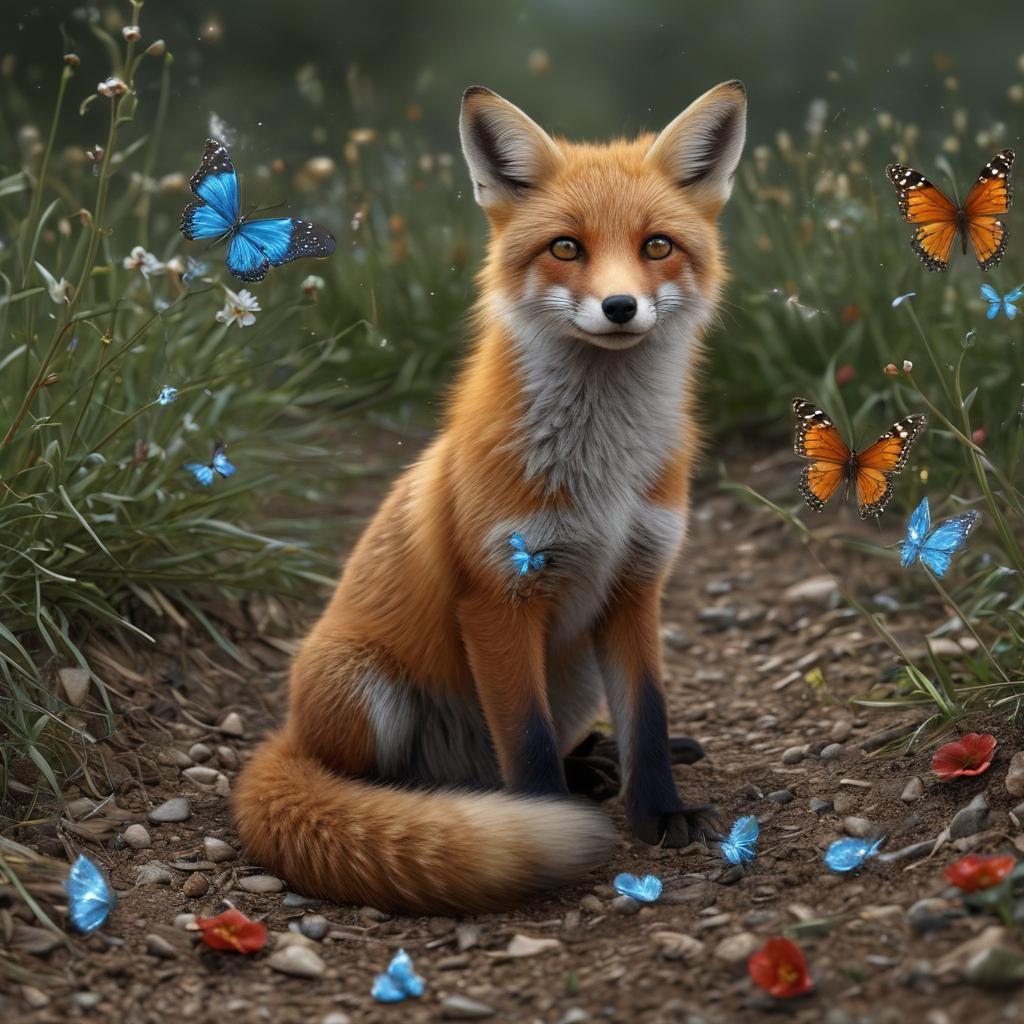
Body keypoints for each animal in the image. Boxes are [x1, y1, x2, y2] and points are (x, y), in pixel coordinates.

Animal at [234, 80, 747, 915]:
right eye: (566, 248)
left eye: (657, 246)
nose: (620, 307)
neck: (601, 476)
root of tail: (289, 734)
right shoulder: (498, 596)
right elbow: (527, 740)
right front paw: (546, 825)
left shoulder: (637, 584)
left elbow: (647, 715)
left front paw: (659, 810)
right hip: (364, 690)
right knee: (402, 782)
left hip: (573, 671)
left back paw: (593, 765)